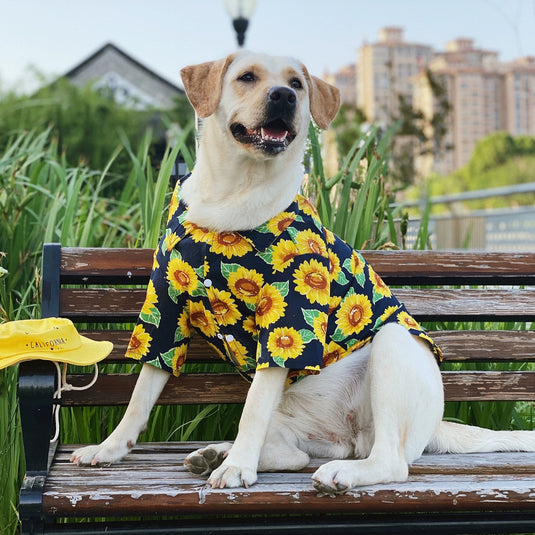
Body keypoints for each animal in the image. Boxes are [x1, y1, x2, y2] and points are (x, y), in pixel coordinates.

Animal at [71, 52, 535, 496]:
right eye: (246, 76)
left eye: (297, 83)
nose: (284, 96)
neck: (233, 194)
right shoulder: (164, 310)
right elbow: (141, 393)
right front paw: (110, 448)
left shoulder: (287, 319)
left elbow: (252, 408)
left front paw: (237, 470)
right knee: (293, 454)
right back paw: (216, 452)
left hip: (392, 349)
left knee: (389, 461)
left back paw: (320, 471)